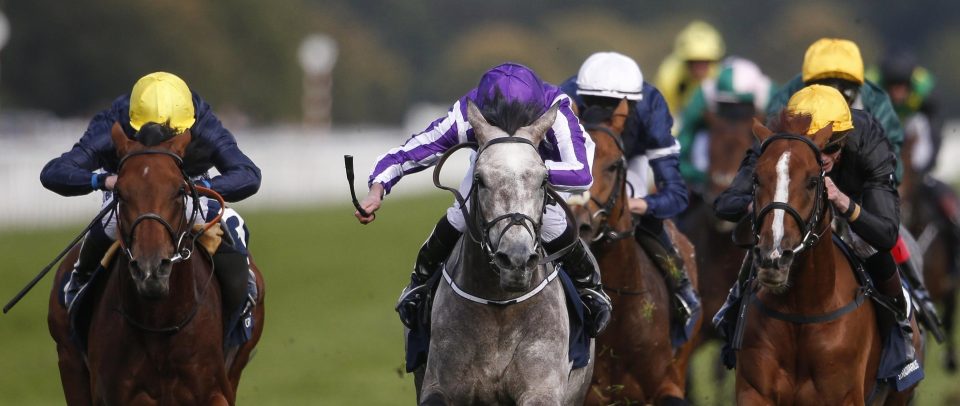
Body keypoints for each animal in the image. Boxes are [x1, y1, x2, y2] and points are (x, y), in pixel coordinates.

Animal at [47, 124, 266, 406]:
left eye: (179, 190)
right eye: (119, 192)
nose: (150, 270)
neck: (159, 324)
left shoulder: (215, 390)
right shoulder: (113, 394)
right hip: (69, 361)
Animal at [740, 115, 920, 406]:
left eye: (813, 181)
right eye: (756, 179)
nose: (773, 256)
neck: (802, 311)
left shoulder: (843, 396)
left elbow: (886, 228)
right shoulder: (754, 391)